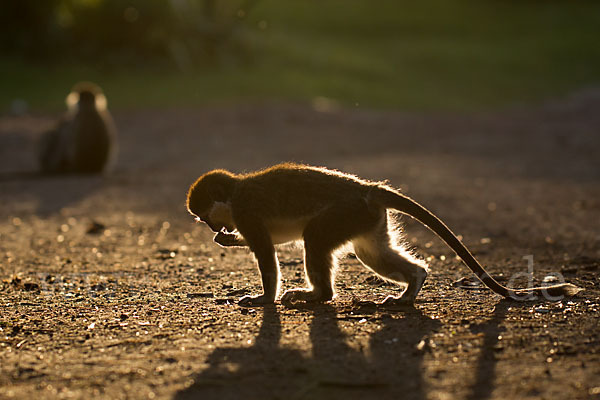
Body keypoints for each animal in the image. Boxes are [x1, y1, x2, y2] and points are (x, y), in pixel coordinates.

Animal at [186, 162, 580, 306]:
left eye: (204, 216)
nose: (212, 227)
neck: (235, 192)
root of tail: (367, 189)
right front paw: (228, 239)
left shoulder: (246, 211)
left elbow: (267, 251)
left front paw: (264, 298)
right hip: (366, 219)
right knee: (372, 253)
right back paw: (413, 285)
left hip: (347, 213)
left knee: (316, 237)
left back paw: (320, 296)